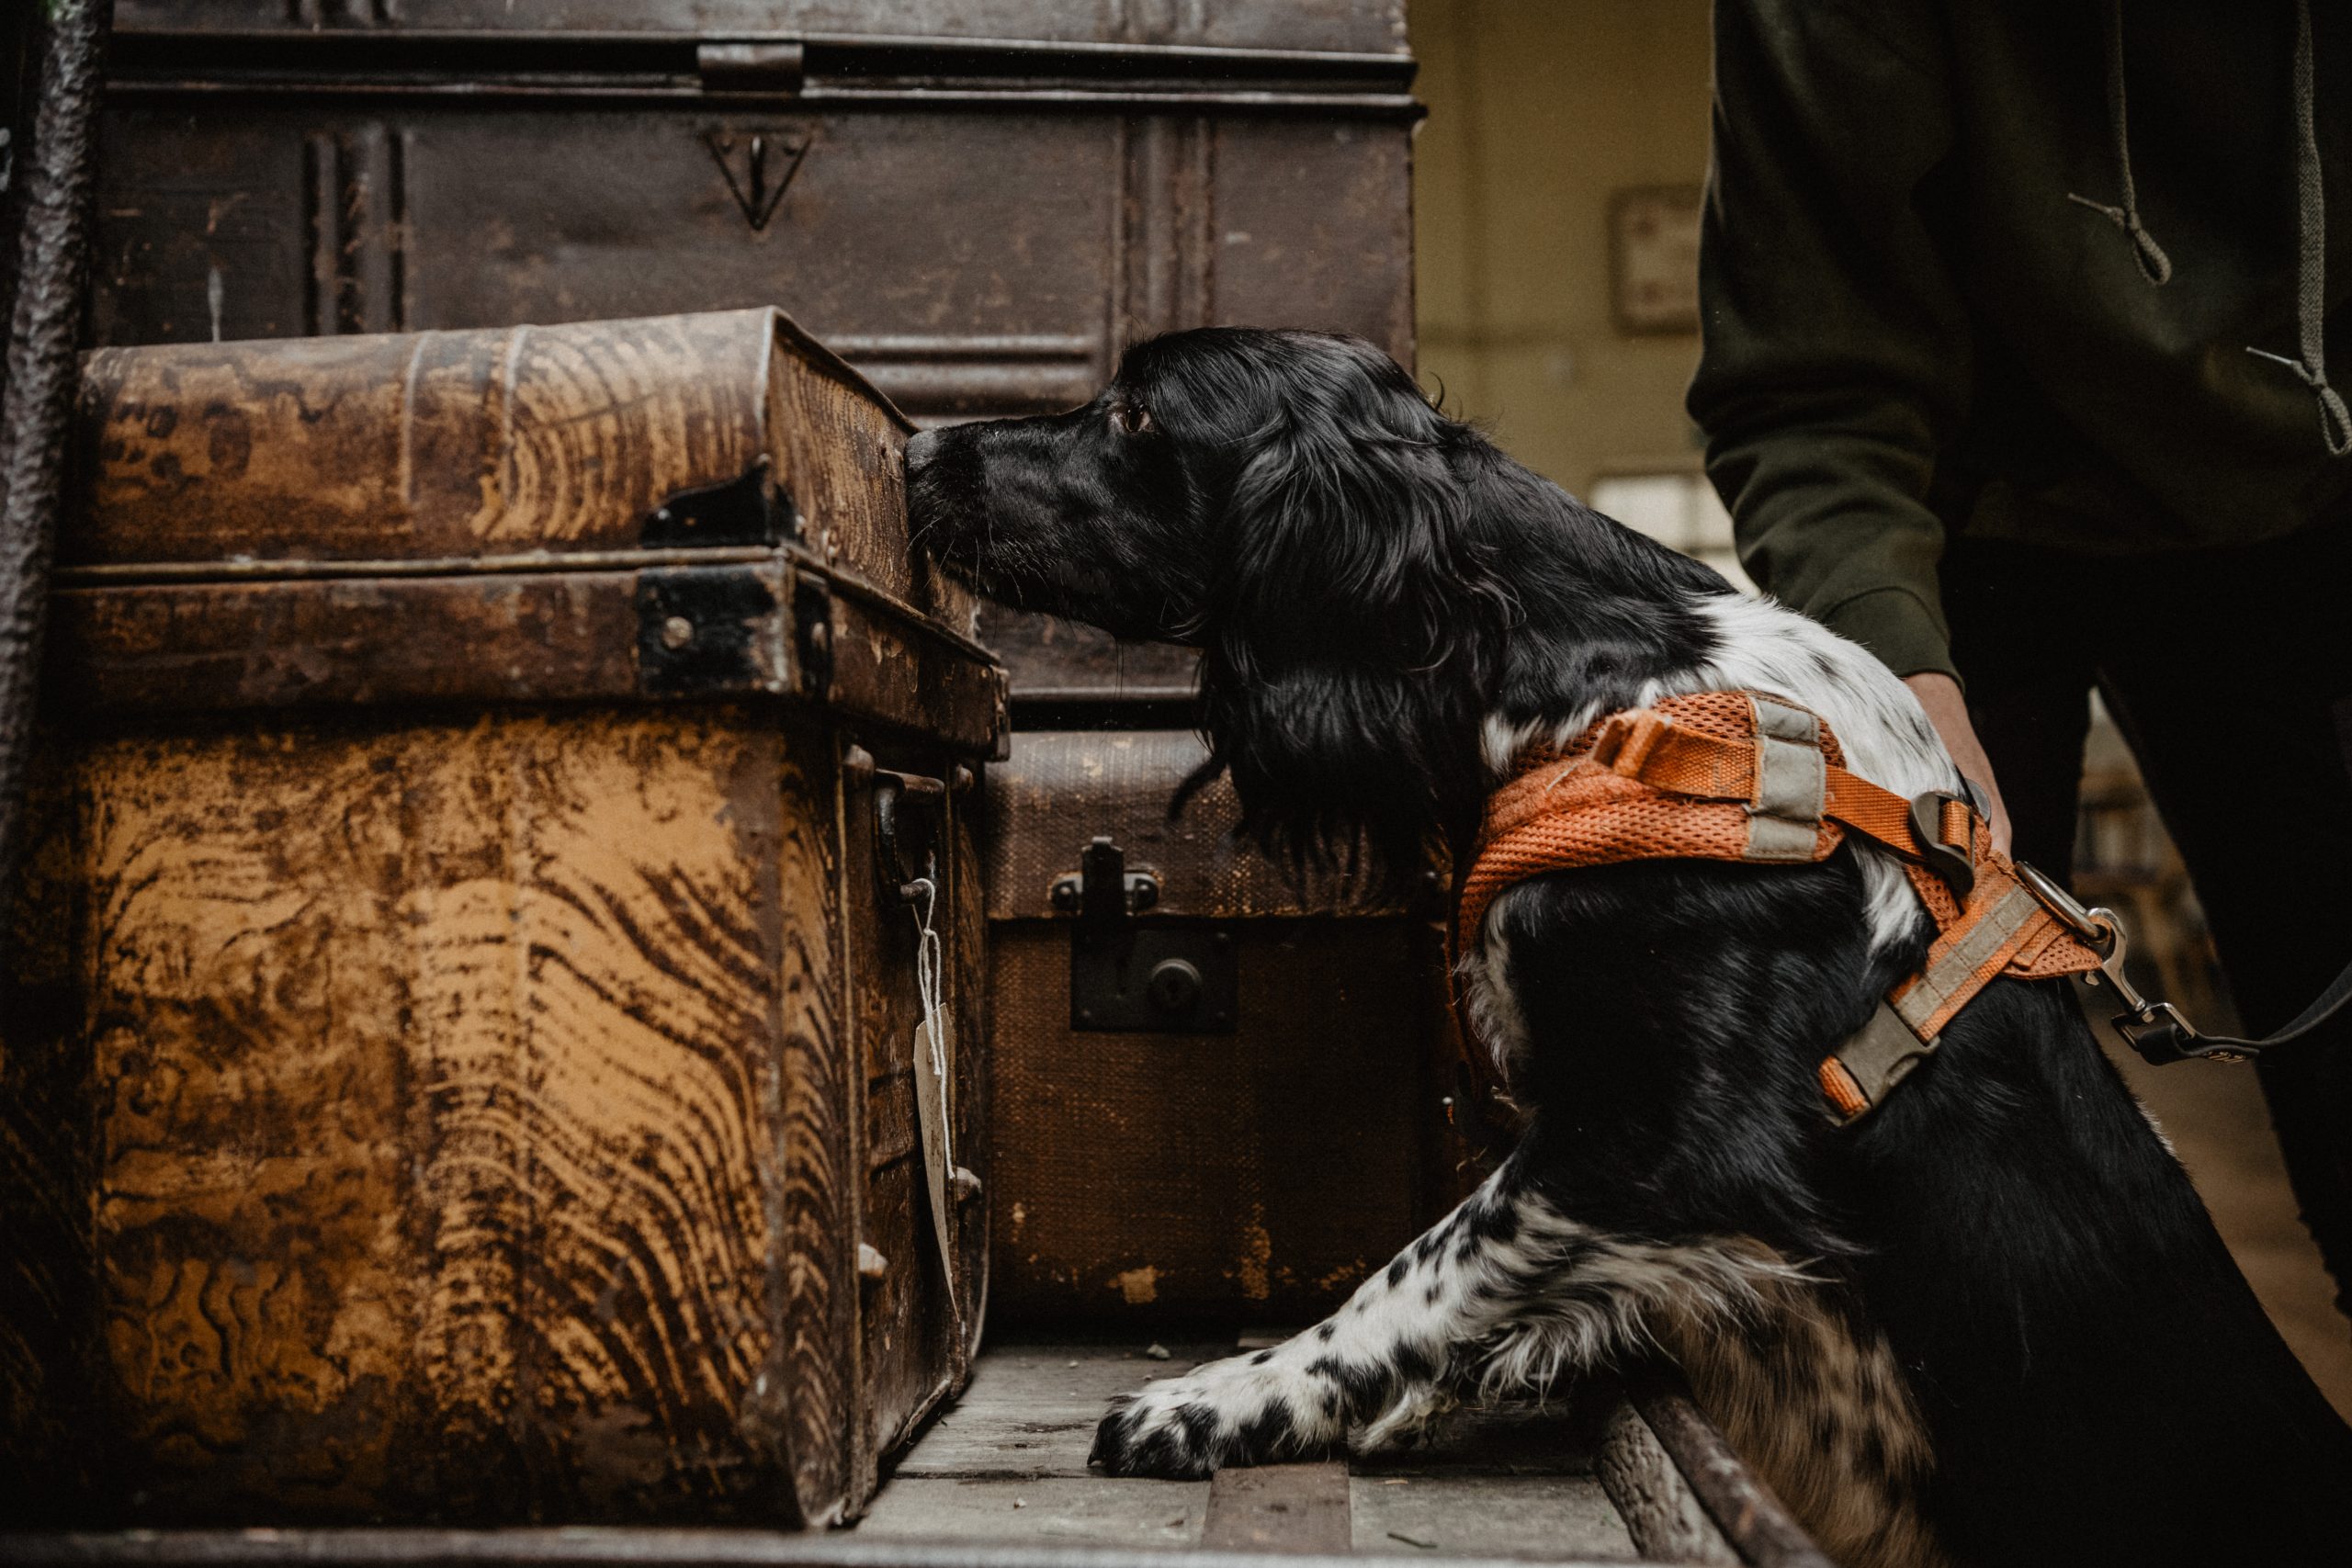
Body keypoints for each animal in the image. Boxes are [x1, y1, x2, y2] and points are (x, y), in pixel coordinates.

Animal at [898, 333, 2352, 1568]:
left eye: (1138, 414)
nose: (915, 450)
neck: (1606, 695)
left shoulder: (1665, 1136)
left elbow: (1418, 1273)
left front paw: (1222, 1401)